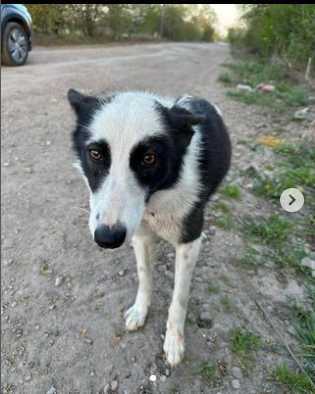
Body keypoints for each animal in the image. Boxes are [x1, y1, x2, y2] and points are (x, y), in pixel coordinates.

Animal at [68, 89, 231, 366]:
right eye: (95, 154)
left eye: (149, 158)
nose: (107, 238)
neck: (157, 197)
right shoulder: (140, 236)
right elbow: (145, 276)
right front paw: (140, 311)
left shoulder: (189, 240)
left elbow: (179, 297)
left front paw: (174, 341)